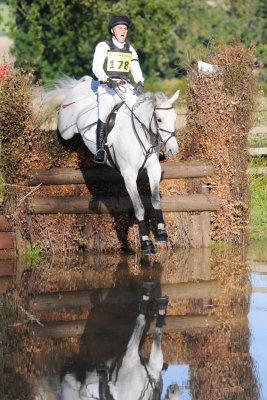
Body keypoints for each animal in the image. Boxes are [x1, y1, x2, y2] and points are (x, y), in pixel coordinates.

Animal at [36, 76, 180, 255]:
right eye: (159, 119)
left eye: (174, 118)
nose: (173, 150)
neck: (141, 135)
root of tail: (81, 86)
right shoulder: (128, 175)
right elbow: (139, 207)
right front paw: (146, 242)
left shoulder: (154, 168)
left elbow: (156, 200)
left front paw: (161, 233)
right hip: (66, 129)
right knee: (61, 124)